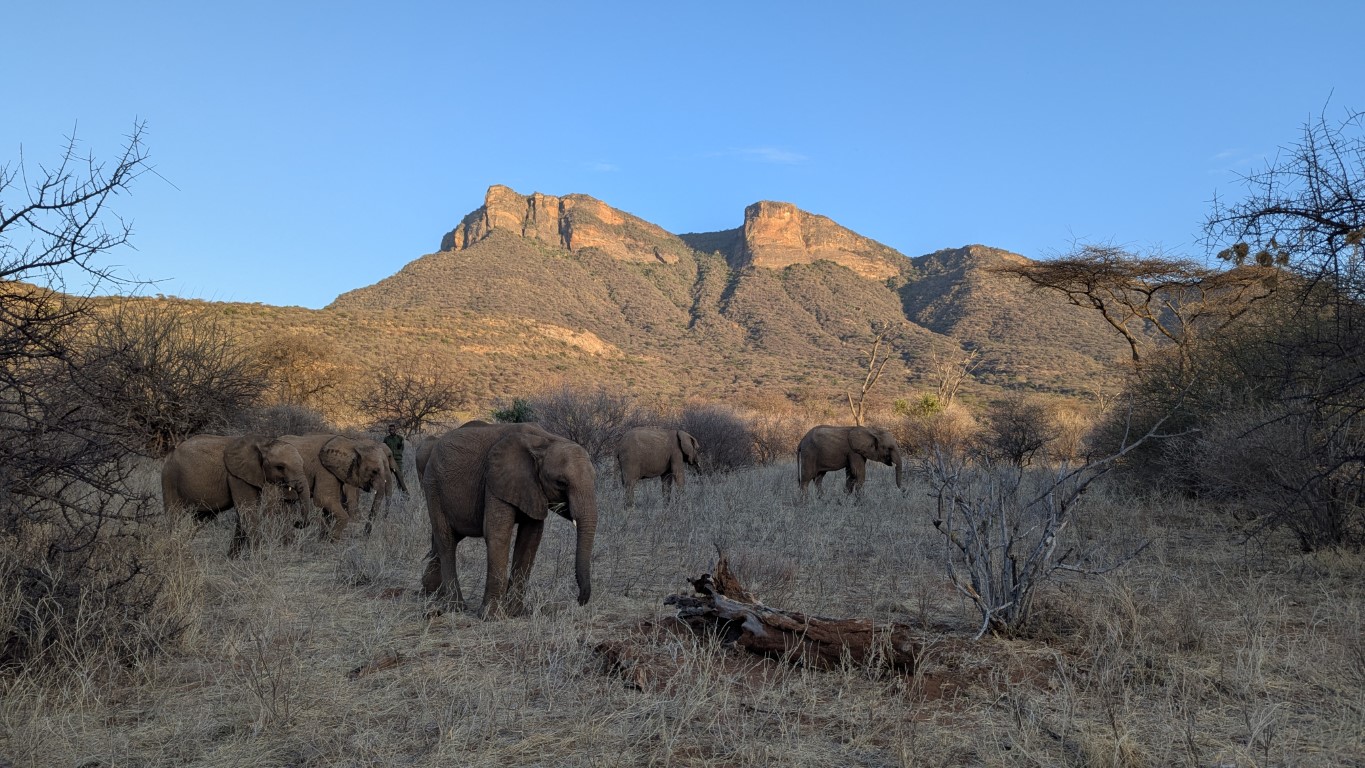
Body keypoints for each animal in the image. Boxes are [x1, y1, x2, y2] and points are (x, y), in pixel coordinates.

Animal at [161, 433, 314, 557]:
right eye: (280, 467)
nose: (297, 523)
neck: (263, 442)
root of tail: (172, 451)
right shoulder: (236, 477)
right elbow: (247, 510)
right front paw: (259, 557)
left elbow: (244, 514)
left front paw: (231, 559)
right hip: (170, 477)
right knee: (174, 515)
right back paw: (172, 552)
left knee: (201, 519)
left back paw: (182, 549)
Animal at [420, 422, 597, 618]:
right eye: (561, 483)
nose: (579, 600)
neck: (546, 440)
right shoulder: (495, 480)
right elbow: (498, 533)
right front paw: (491, 617)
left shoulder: (533, 488)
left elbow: (530, 539)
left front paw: (516, 613)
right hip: (433, 486)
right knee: (447, 540)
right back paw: (455, 607)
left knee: (449, 537)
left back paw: (430, 591)